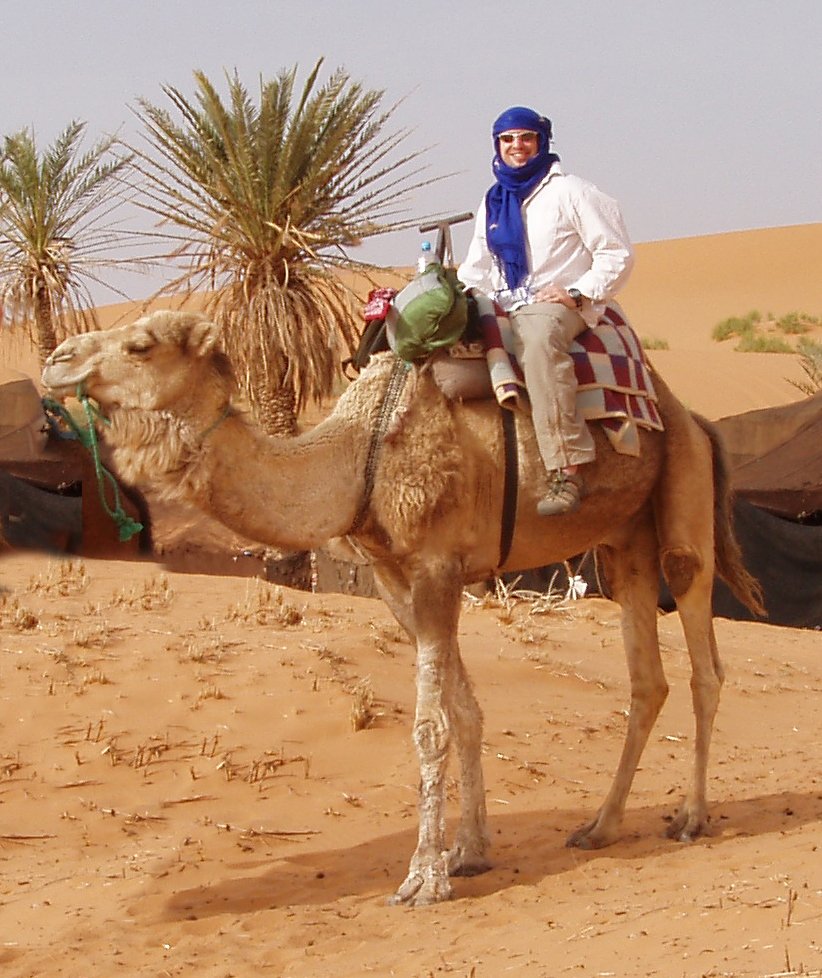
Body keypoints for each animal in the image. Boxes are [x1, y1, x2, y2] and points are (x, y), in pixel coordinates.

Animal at [43, 312, 768, 908]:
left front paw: (424, 878)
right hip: (624, 542)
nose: (55, 358)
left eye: (140, 344)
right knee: (648, 678)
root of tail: (693, 417)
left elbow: (430, 726)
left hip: (683, 499)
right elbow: (464, 712)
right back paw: (601, 826)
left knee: (702, 654)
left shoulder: (438, 565)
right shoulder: (394, 579)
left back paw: (690, 817)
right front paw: (469, 851)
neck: (358, 455)